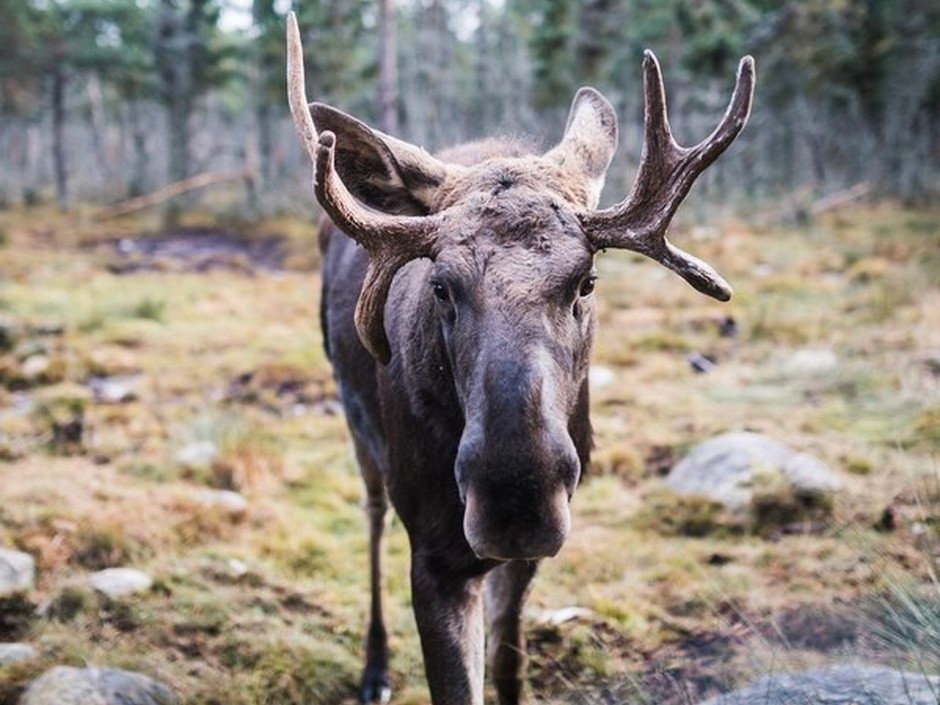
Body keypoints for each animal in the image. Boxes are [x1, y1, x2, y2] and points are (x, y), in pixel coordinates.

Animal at [282, 12, 752, 704]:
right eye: (441, 286)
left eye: (586, 281)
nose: (516, 496)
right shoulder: (436, 552)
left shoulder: (526, 555)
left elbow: (507, 662)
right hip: (355, 423)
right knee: (371, 518)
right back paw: (375, 666)